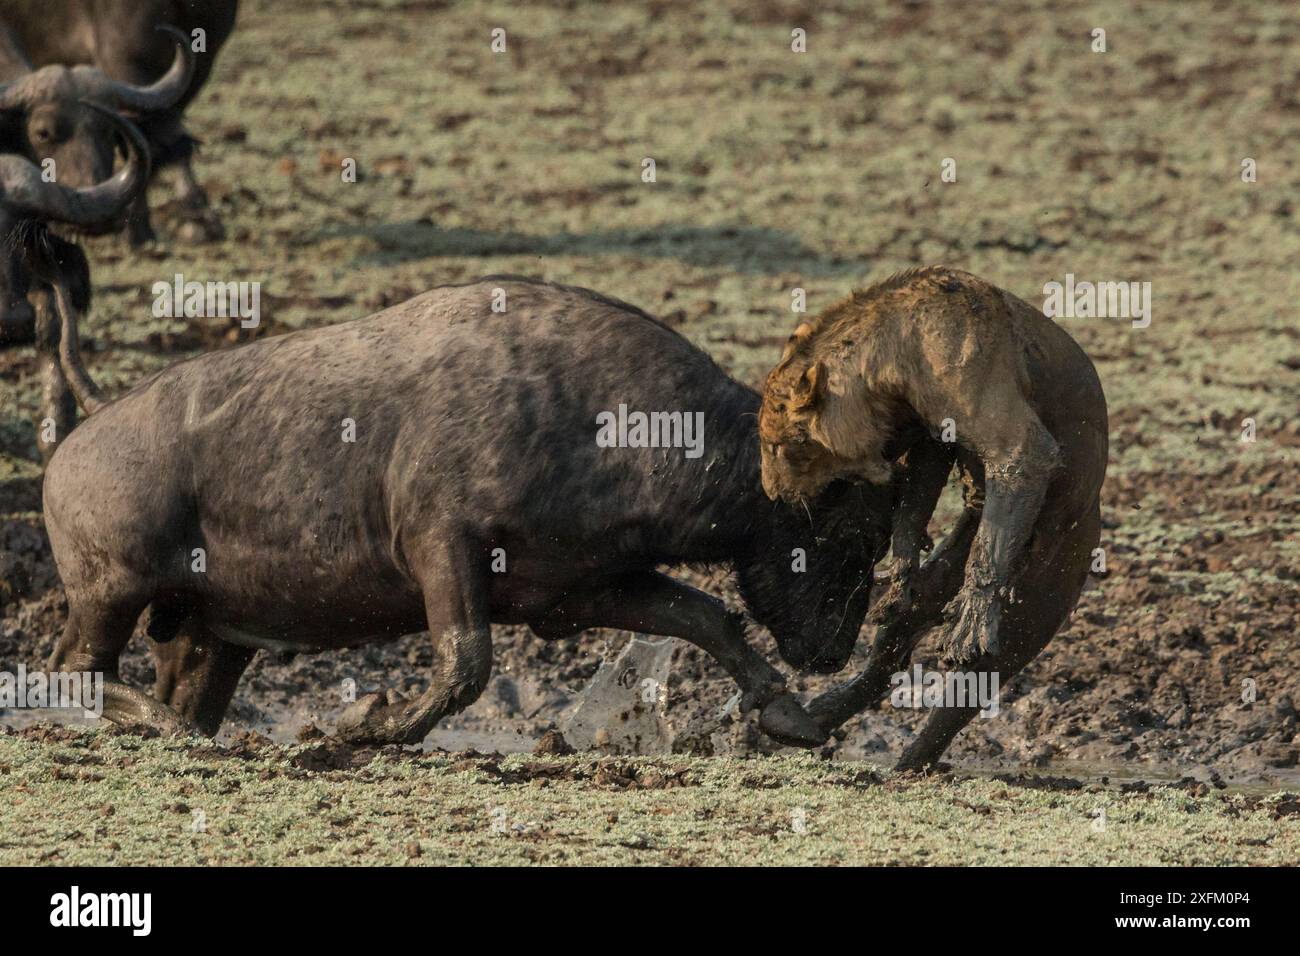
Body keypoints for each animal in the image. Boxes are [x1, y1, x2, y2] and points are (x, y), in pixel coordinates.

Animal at [759, 266, 1108, 770]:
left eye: (777, 445)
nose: (772, 492)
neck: (895, 357)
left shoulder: (1008, 430)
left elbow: (998, 522)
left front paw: (972, 614)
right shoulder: (931, 432)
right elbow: (916, 502)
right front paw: (901, 572)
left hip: (1045, 590)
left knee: (973, 682)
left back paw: (911, 761)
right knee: (893, 645)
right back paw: (808, 719)